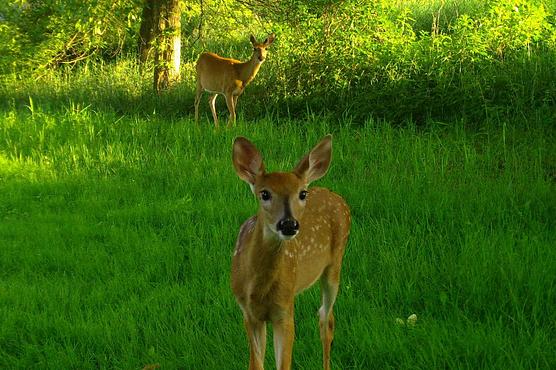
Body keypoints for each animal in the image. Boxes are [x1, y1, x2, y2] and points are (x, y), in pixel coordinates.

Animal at [231, 134, 352, 368]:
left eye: (302, 193)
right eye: (264, 194)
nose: (288, 224)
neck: (258, 286)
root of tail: (332, 194)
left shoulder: (285, 310)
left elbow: (284, 364)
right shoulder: (248, 313)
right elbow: (255, 364)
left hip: (335, 263)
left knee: (326, 319)